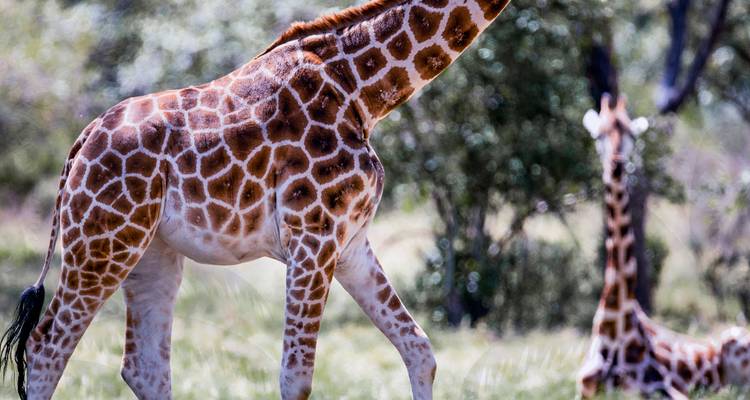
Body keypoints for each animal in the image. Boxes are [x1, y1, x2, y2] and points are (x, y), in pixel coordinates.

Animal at [0, 1, 512, 399]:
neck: (363, 91)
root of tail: (81, 142)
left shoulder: (349, 244)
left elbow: (421, 350)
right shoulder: (312, 236)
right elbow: (296, 378)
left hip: (151, 252)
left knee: (143, 367)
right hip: (102, 243)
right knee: (46, 349)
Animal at [577, 94, 750, 399]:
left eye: (631, 134)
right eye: (599, 135)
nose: (617, 164)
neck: (614, 323)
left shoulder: (667, 387)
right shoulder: (584, 388)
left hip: (735, 340)